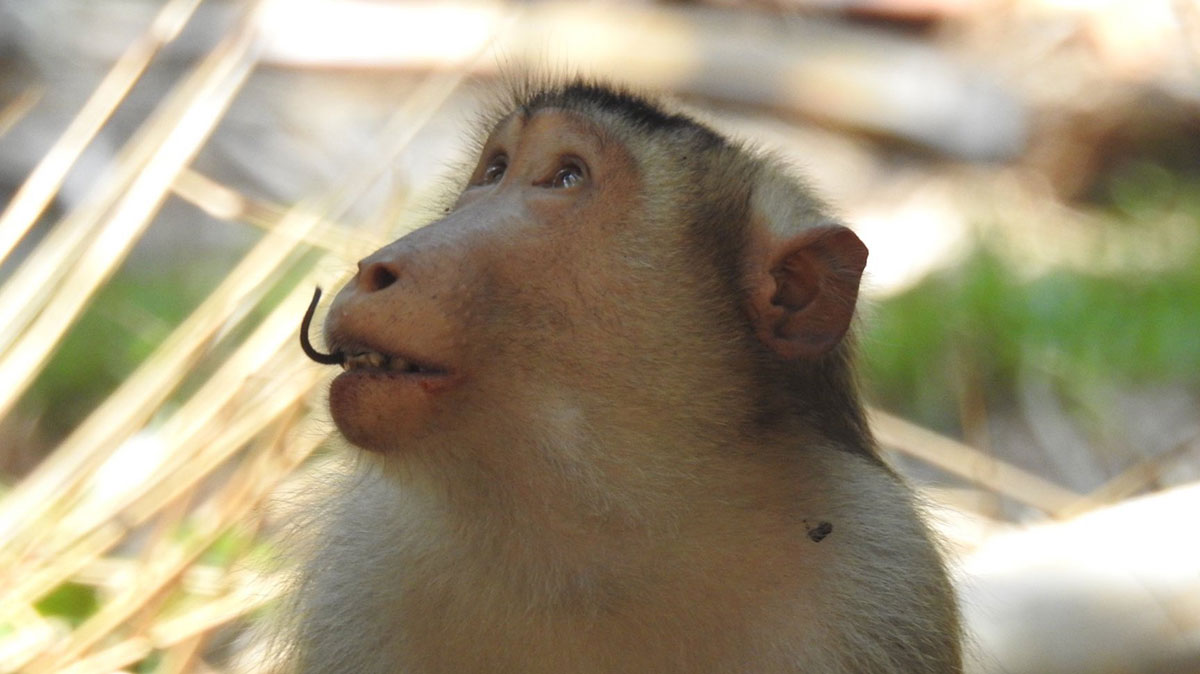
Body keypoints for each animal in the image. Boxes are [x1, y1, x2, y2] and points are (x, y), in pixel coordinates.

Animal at [276, 79, 960, 671]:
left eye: (566, 177)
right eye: (495, 170)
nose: (376, 269)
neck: (600, 535)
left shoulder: (878, 585)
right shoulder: (361, 573)